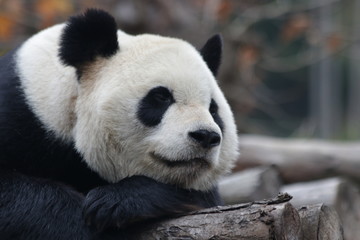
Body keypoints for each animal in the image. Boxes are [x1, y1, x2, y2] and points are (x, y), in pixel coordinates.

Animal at [0, 8, 239, 239]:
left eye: (213, 109)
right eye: (161, 97)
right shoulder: (20, 114)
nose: (205, 136)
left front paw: (117, 202)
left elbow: (202, 199)